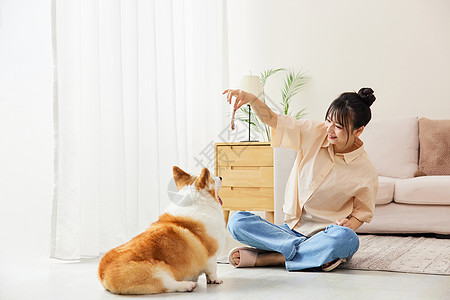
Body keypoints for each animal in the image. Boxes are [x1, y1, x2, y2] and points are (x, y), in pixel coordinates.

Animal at [97, 166, 227, 296]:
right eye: (213, 180)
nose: (221, 177)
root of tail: (103, 274)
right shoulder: (211, 256)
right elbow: (213, 270)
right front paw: (215, 280)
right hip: (158, 272)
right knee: (168, 285)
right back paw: (187, 285)